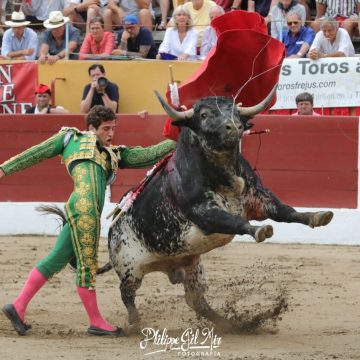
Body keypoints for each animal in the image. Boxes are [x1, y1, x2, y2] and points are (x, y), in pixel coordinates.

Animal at [97, 86, 332, 332]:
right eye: (204, 115)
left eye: (235, 111)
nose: (234, 126)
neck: (224, 172)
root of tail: (112, 230)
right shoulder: (204, 212)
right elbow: (235, 221)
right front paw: (260, 230)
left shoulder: (259, 198)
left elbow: (285, 211)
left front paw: (317, 216)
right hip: (129, 267)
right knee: (127, 294)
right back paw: (135, 324)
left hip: (192, 266)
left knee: (196, 301)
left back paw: (228, 324)